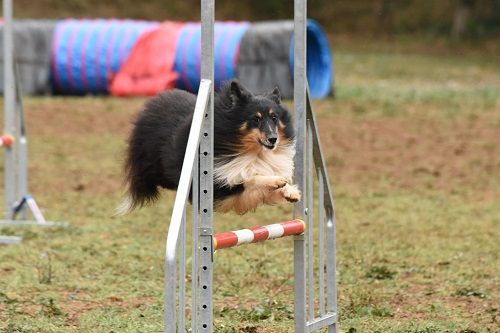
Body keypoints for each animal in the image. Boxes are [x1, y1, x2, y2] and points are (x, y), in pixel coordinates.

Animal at [118, 81, 300, 214]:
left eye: (274, 117)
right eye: (256, 119)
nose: (273, 139)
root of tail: (153, 102)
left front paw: (291, 192)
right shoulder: (220, 187)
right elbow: (250, 178)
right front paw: (277, 181)